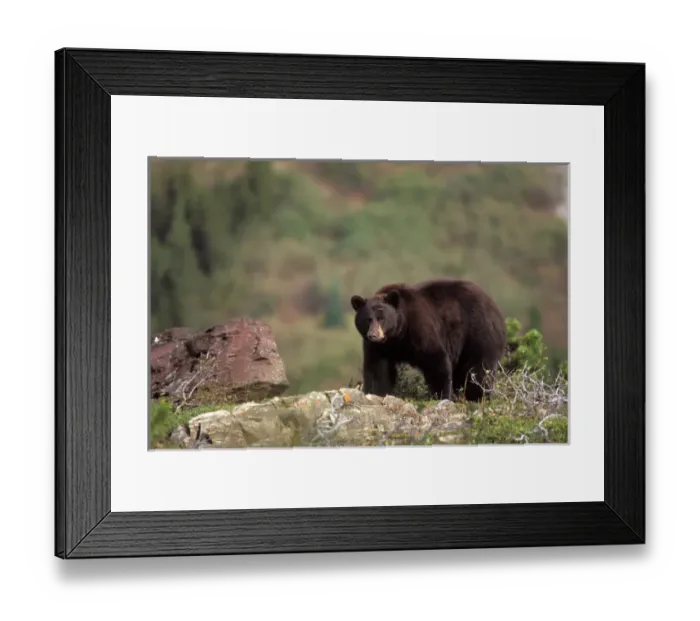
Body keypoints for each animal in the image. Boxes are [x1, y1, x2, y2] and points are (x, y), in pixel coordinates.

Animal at [350, 278, 508, 402]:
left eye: (381, 318)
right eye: (368, 319)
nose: (373, 335)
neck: (397, 335)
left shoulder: (419, 328)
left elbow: (435, 359)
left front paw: (442, 394)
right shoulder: (379, 348)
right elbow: (377, 368)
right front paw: (376, 392)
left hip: (478, 332)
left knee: (479, 367)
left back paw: (476, 395)